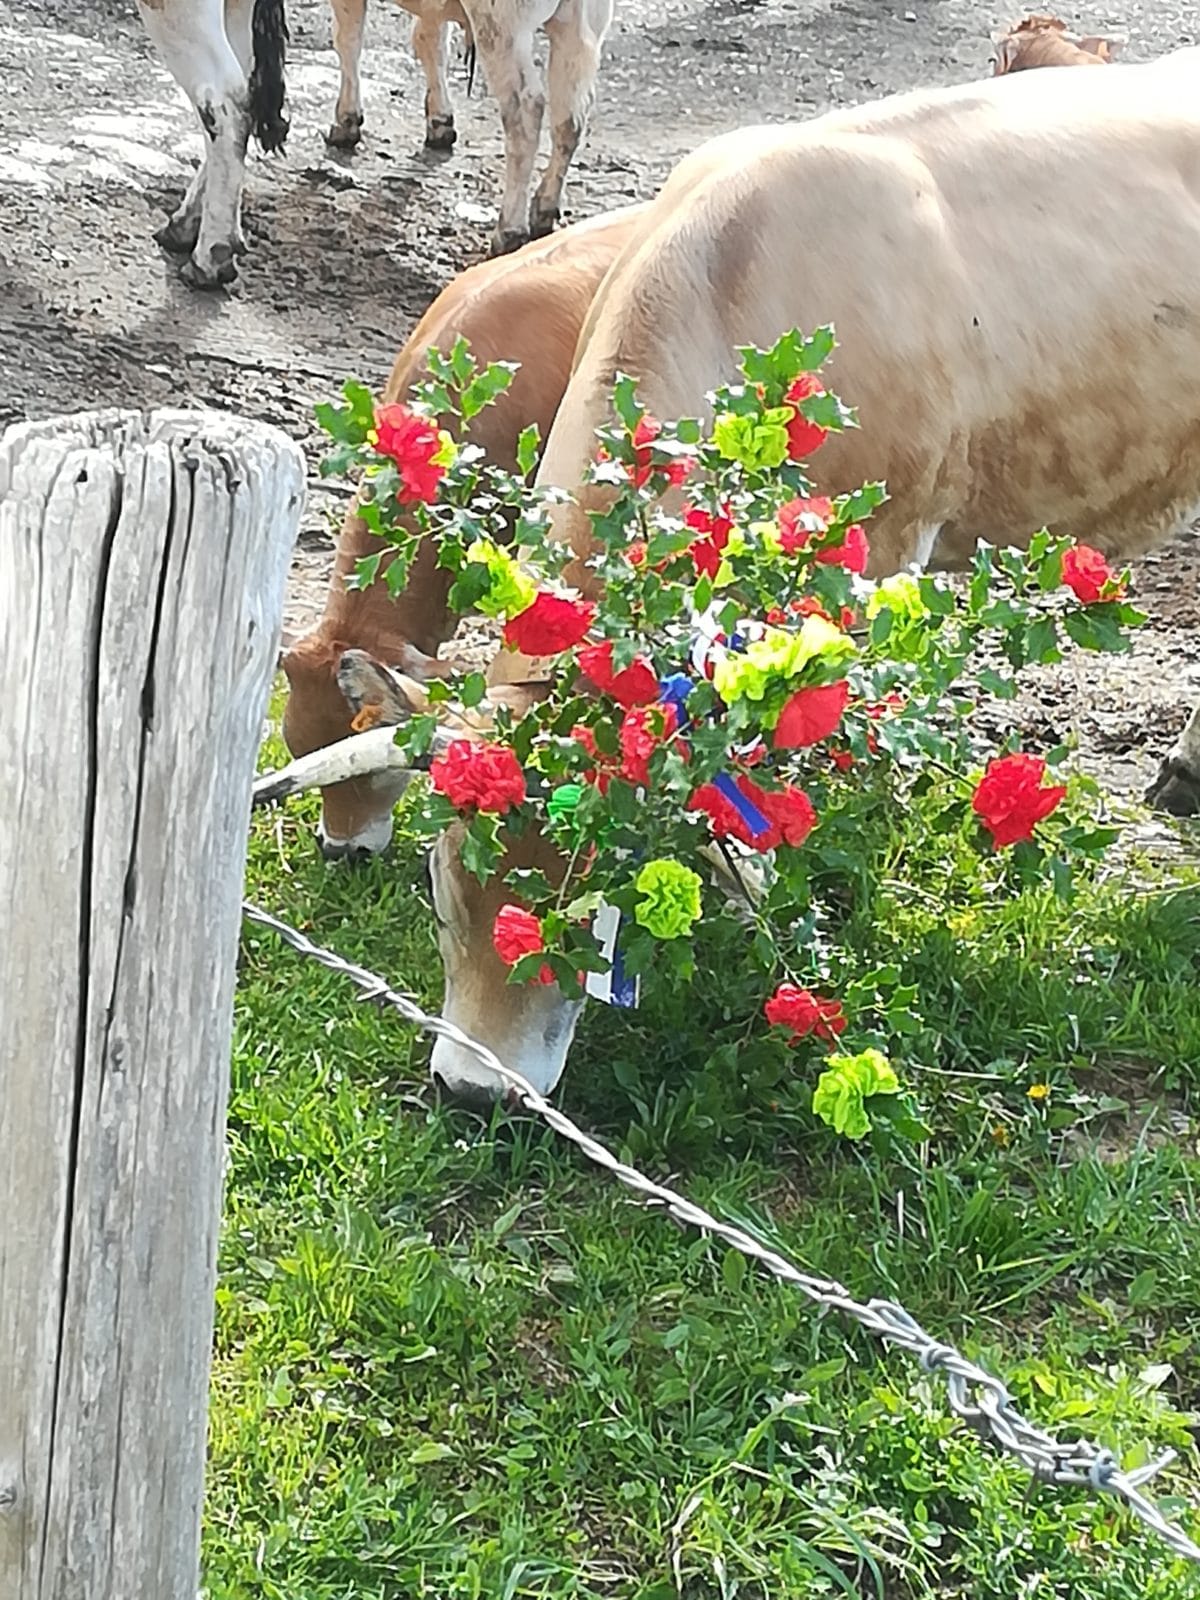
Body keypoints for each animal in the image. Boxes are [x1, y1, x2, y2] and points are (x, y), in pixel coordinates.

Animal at [324, 0, 614, 252]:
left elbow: (347, 38)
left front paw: (346, 122)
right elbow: (431, 39)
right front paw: (440, 123)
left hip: (502, 25)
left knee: (526, 110)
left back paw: (509, 231)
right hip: (583, 23)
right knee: (571, 117)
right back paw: (543, 208)